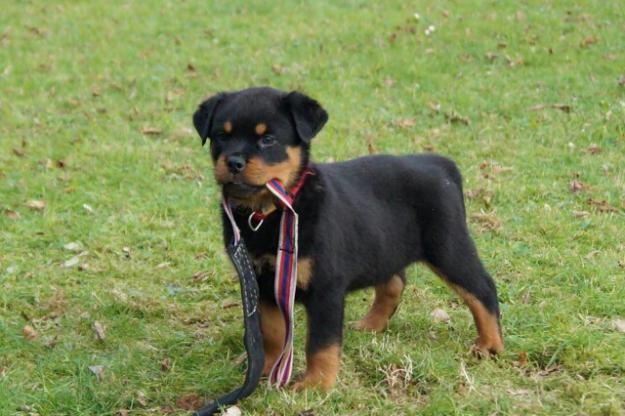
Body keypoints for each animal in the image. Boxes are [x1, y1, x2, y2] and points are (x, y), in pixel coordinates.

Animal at [193, 86, 504, 392]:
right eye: (222, 136)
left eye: (268, 139)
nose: (233, 162)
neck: (268, 211)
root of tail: (440, 164)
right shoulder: (261, 281)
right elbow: (270, 332)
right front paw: (266, 367)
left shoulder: (326, 287)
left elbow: (321, 343)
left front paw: (316, 384)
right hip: (384, 245)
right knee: (394, 282)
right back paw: (371, 324)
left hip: (448, 246)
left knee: (482, 288)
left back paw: (490, 345)